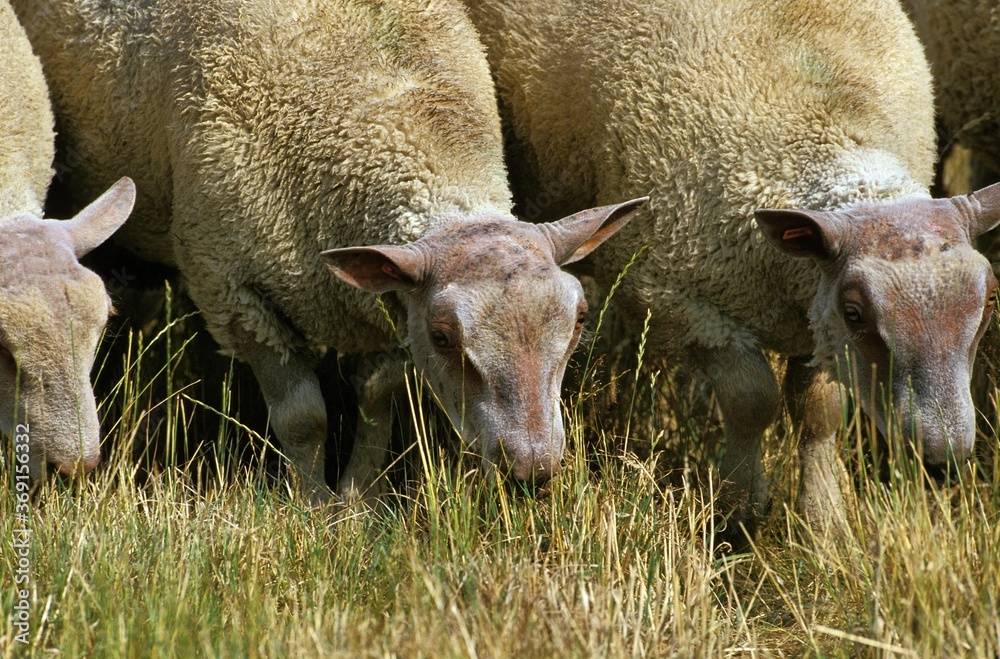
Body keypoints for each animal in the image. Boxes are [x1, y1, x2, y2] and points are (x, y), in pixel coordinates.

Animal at [464, 0, 1000, 544]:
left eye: (989, 302)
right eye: (856, 312)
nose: (943, 460)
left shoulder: (816, 319)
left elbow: (820, 413)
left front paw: (823, 521)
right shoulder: (682, 303)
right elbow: (751, 401)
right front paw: (738, 513)